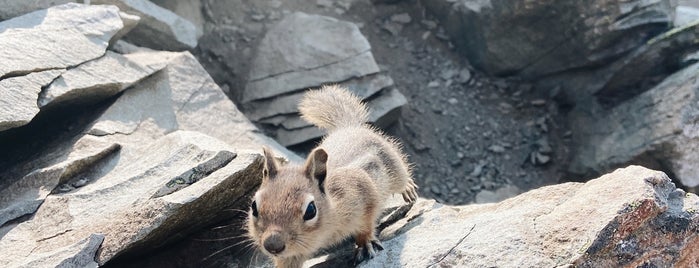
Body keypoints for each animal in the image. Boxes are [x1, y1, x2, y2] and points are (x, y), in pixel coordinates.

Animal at [249, 85, 418, 266]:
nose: (273, 245)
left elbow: (366, 224)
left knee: (402, 178)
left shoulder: (363, 190)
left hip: (394, 167)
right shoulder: (291, 255)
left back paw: (408, 188)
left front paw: (365, 243)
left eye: (310, 210)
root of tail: (348, 127)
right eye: (254, 206)